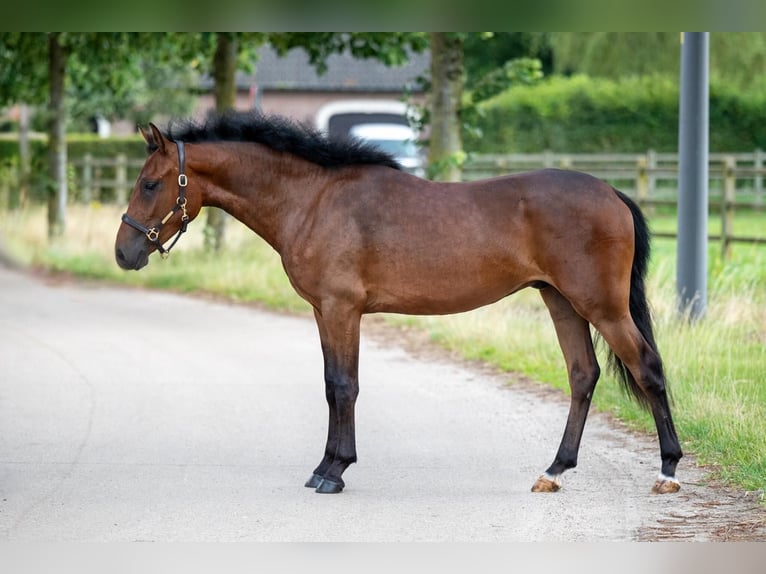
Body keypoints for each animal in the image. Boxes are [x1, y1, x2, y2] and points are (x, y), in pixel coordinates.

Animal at [114, 111, 682, 495]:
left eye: (150, 183)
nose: (123, 253)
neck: (313, 199)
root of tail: (612, 193)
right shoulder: (324, 312)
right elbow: (331, 386)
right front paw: (325, 466)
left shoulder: (341, 309)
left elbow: (344, 386)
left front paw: (335, 472)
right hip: (561, 300)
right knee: (583, 374)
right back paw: (554, 471)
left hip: (602, 306)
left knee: (648, 368)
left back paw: (668, 471)